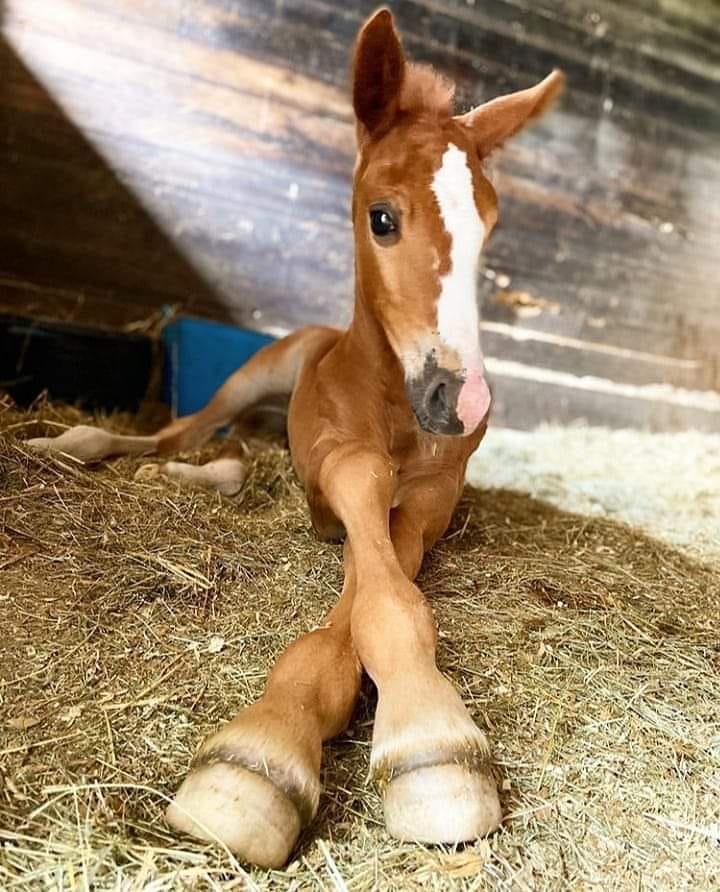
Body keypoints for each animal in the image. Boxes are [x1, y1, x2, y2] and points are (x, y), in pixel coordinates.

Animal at [31, 8, 564, 872]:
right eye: (382, 217)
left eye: (489, 227)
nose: (465, 403)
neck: (391, 406)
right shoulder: (337, 467)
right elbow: (372, 556)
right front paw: (270, 758)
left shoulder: (432, 499)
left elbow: (385, 586)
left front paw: (416, 735)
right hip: (251, 379)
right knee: (176, 431)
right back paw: (72, 447)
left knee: (227, 462)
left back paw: (180, 479)